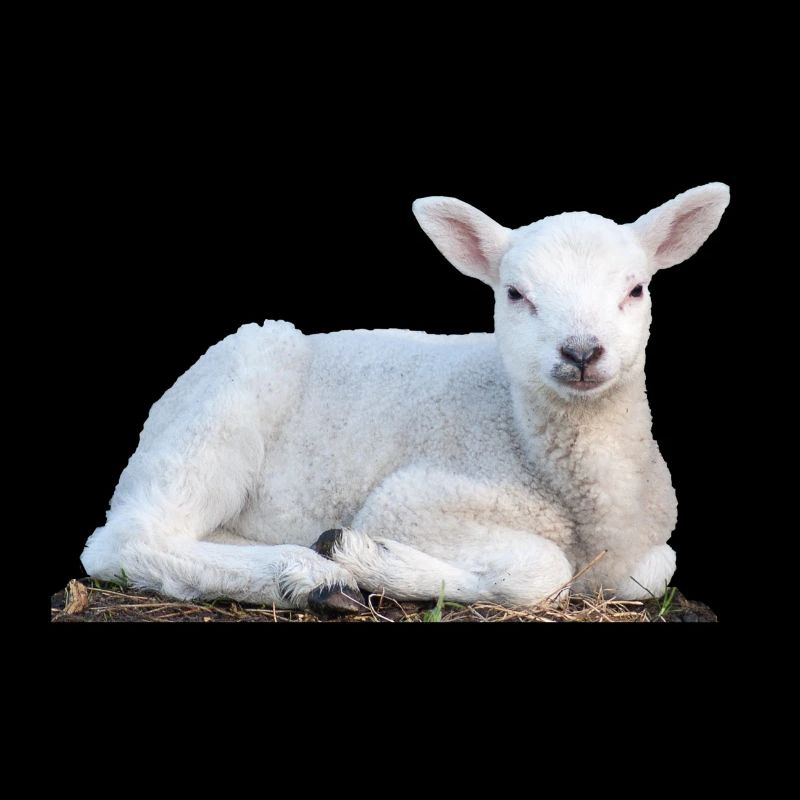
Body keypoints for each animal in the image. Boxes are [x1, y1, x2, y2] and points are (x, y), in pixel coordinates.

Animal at [81, 183, 730, 614]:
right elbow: (545, 571)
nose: (581, 351)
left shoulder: (645, 552)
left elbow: (654, 572)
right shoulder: (416, 499)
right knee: (126, 539)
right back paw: (309, 576)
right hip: (228, 397)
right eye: (515, 294)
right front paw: (369, 558)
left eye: (636, 289)